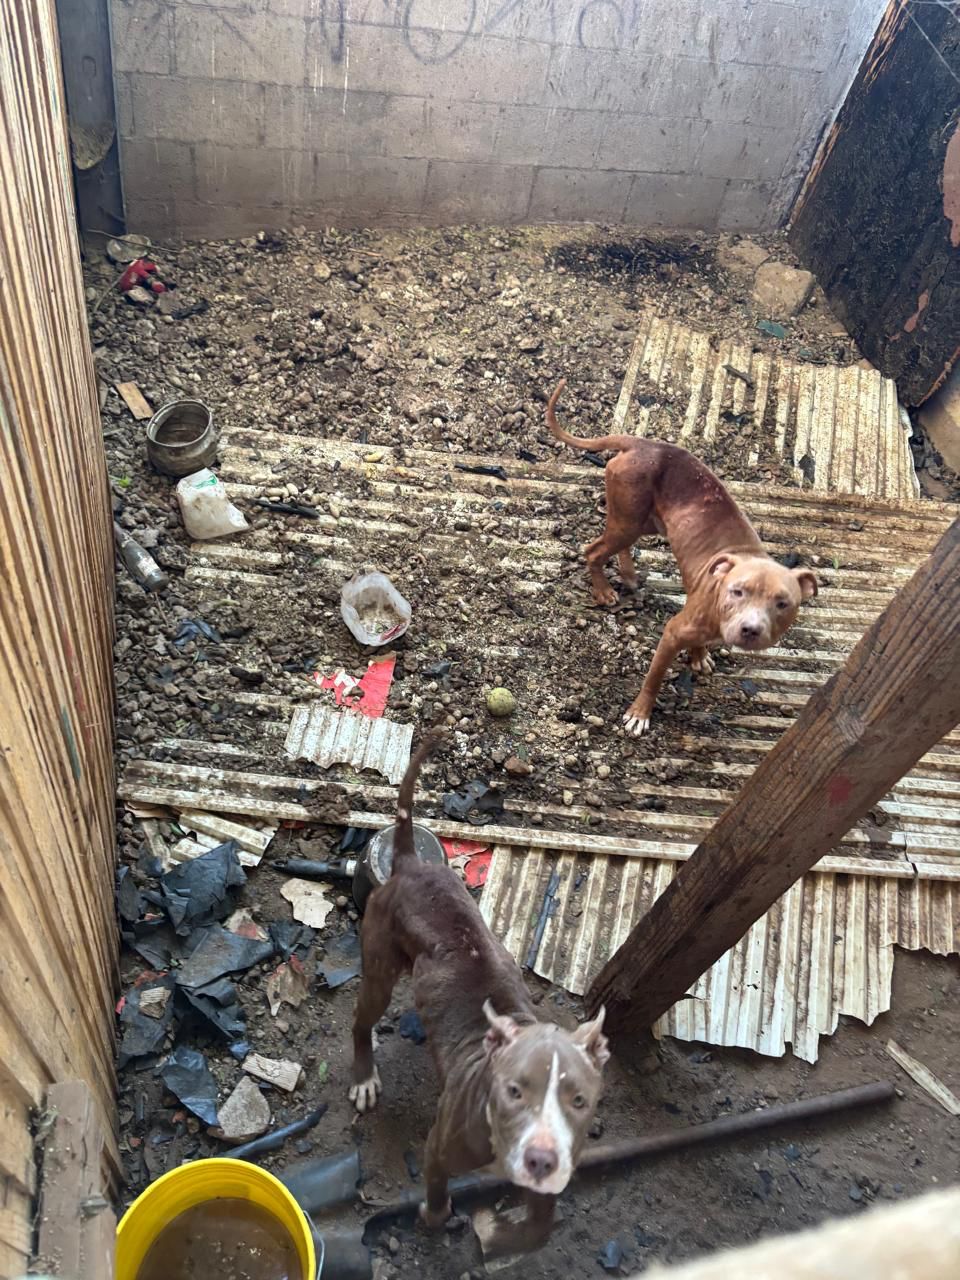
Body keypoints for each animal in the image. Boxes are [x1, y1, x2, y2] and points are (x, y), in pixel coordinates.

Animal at [349, 735, 609, 1256]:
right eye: (514, 1091)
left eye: (579, 1100)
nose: (541, 1158)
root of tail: (409, 862)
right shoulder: (438, 1147)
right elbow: (435, 1192)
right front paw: (435, 1218)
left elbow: (540, 1225)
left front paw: (499, 1232)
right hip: (380, 971)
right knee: (361, 1019)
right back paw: (365, 1076)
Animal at [546, 379, 817, 735]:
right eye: (737, 591)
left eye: (782, 603)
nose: (751, 629)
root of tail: (640, 442)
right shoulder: (672, 633)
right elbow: (654, 678)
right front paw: (640, 713)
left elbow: (699, 645)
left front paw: (699, 656)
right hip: (628, 519)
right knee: (594, 551)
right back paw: (603, 591)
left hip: (641, 521)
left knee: (617, 545)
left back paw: (628, 575)